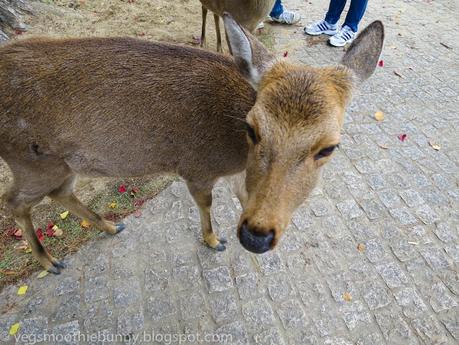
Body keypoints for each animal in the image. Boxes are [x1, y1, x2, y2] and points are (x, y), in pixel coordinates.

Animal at [0, 13, 384, 272]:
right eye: (252, 128)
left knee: (59, 193)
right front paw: (214, 240)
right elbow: (206, 202)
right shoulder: (196, 167)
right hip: (31, 161)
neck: (233, 154)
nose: (256, 236)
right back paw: (50, 262)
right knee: (14, 201)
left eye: (329, 147)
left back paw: (110, 225)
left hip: (61, 164)